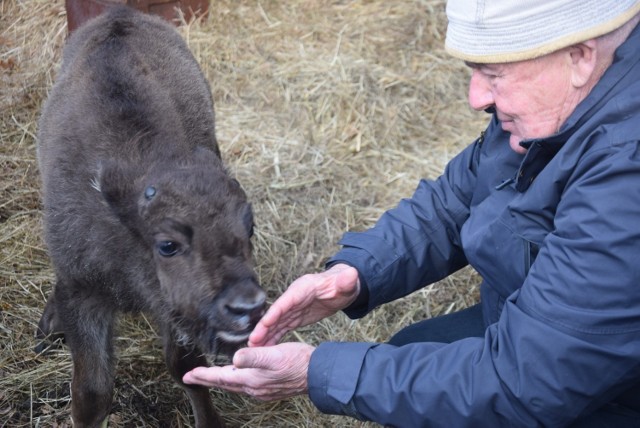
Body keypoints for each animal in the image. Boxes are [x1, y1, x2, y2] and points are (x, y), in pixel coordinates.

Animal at [35, 6, 264, 428]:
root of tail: (119, 14)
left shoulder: (171, 312)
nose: (247, 306)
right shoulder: (83, 293)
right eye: (168, 245)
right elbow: (91, 392)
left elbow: (185, 367)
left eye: (249, 227)